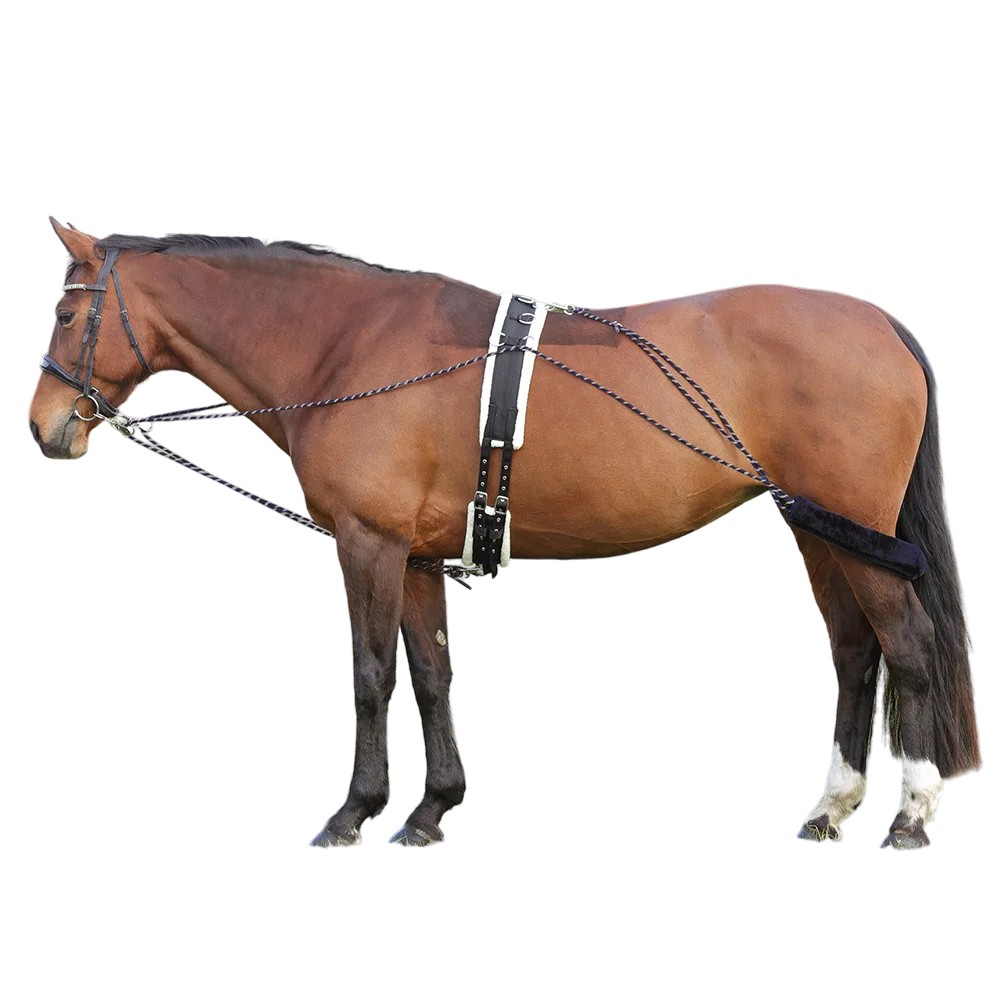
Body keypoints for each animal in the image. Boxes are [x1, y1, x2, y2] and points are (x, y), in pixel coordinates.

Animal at [29, 219, 979, 849]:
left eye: (68, 316)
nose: (45, 427)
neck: (346, 343)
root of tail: (882, 325)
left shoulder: (367, 543)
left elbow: (371, 675)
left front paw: (353, 811)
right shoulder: (413, 553)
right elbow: (431, 674)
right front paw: (430, 808)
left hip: (854, 530)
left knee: (909, 646)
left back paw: (910, 814)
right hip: (821, 531)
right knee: (856, 651)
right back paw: (831, 806)